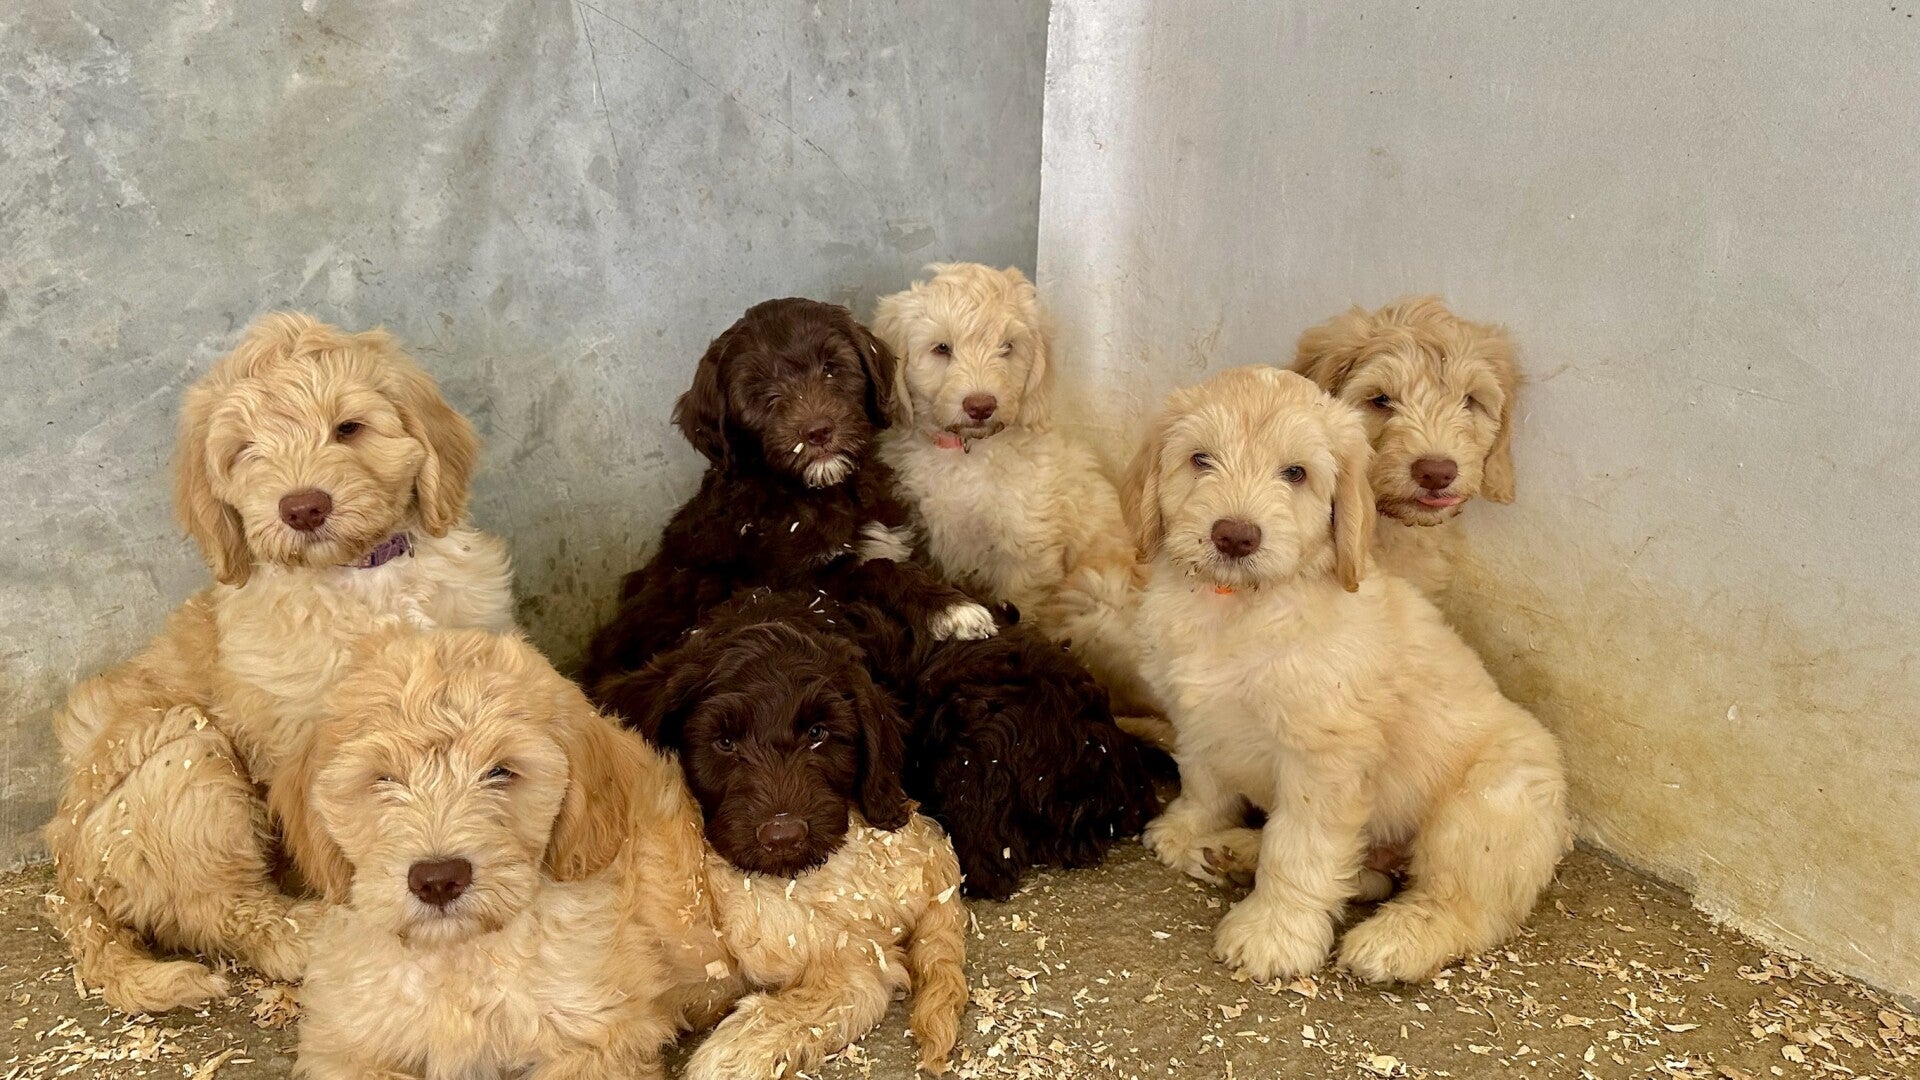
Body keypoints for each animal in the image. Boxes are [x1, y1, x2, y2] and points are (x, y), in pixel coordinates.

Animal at [44, 313, 513, 1014]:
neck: (361, 577)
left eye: (348, 428)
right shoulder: (308, 741)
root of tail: (68, 868)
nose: (303, 507)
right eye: (244, 452)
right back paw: (301, 933)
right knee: (218, 907)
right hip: (182, 755)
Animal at [292, 630, 680, 1079]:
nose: (438, 879)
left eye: (500, 771)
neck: (458, 955)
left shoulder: (601, 1034)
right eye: (384, 778)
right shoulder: (344, 1045)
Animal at [873, 263, 1159, 716]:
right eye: (941, 348)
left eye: (1007, 348)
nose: (981, 405)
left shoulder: (1025, 553)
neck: (966, 453)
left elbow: (1021, 606)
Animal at [1123, 366, 1570, 984]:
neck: (1240, 607)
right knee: (1369, 873)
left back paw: (1397, 940)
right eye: (1200, 459)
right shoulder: (1196, 716)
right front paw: (1188, 830)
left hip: (1486, 809)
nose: (1234, 536)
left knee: (1462, 904)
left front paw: (1273, 933)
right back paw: (1238, 851)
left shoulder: (1324, 759)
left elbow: (1300, 850)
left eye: (1296, 473)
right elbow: (1204, 782)